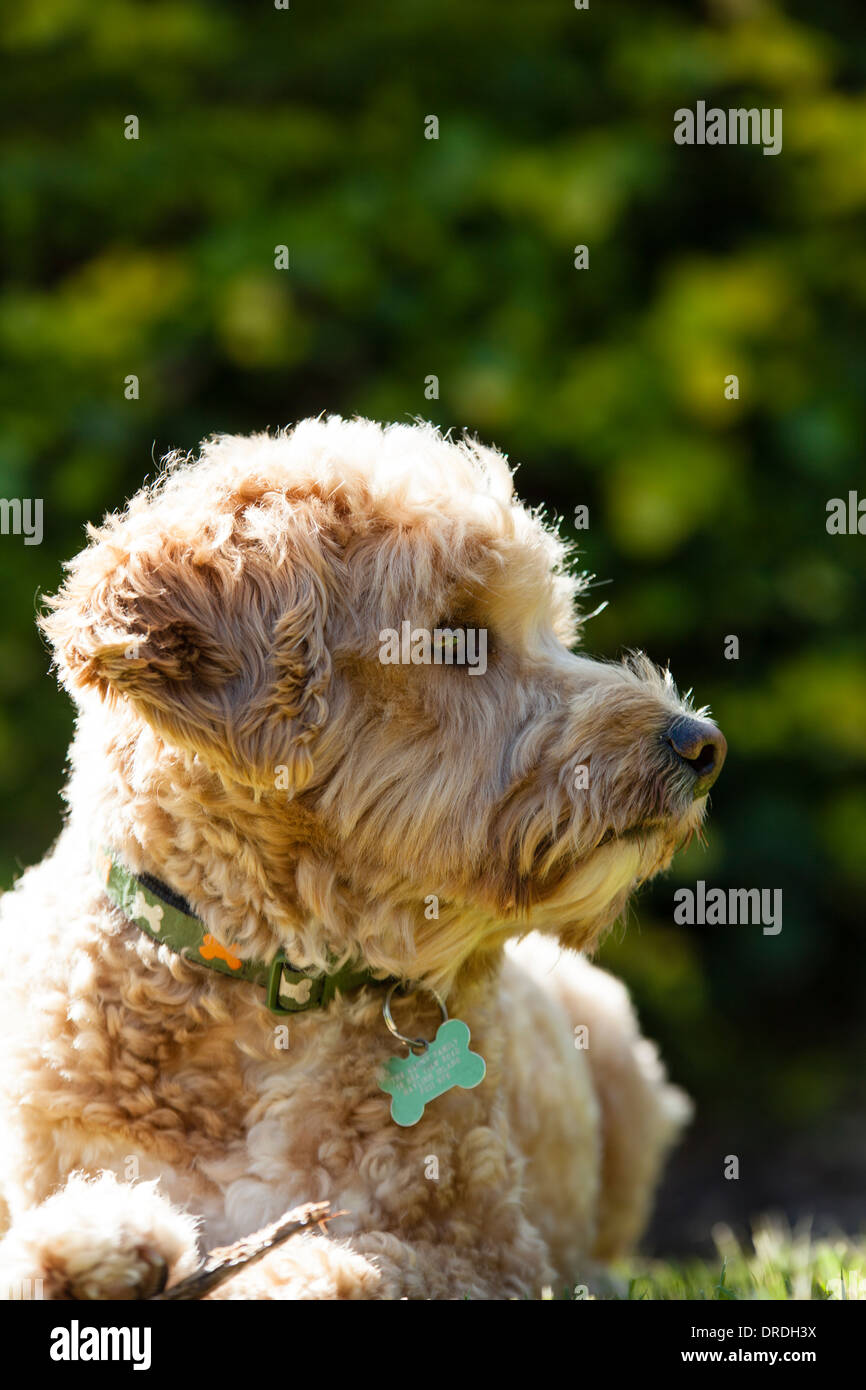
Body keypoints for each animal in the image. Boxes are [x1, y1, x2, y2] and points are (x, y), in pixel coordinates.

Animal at [0, 417, 722, 1295]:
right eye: (455, 636)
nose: (701, 743)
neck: (269, 998)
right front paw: (91, 1245)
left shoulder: (484, 1250)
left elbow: (337, 1263)